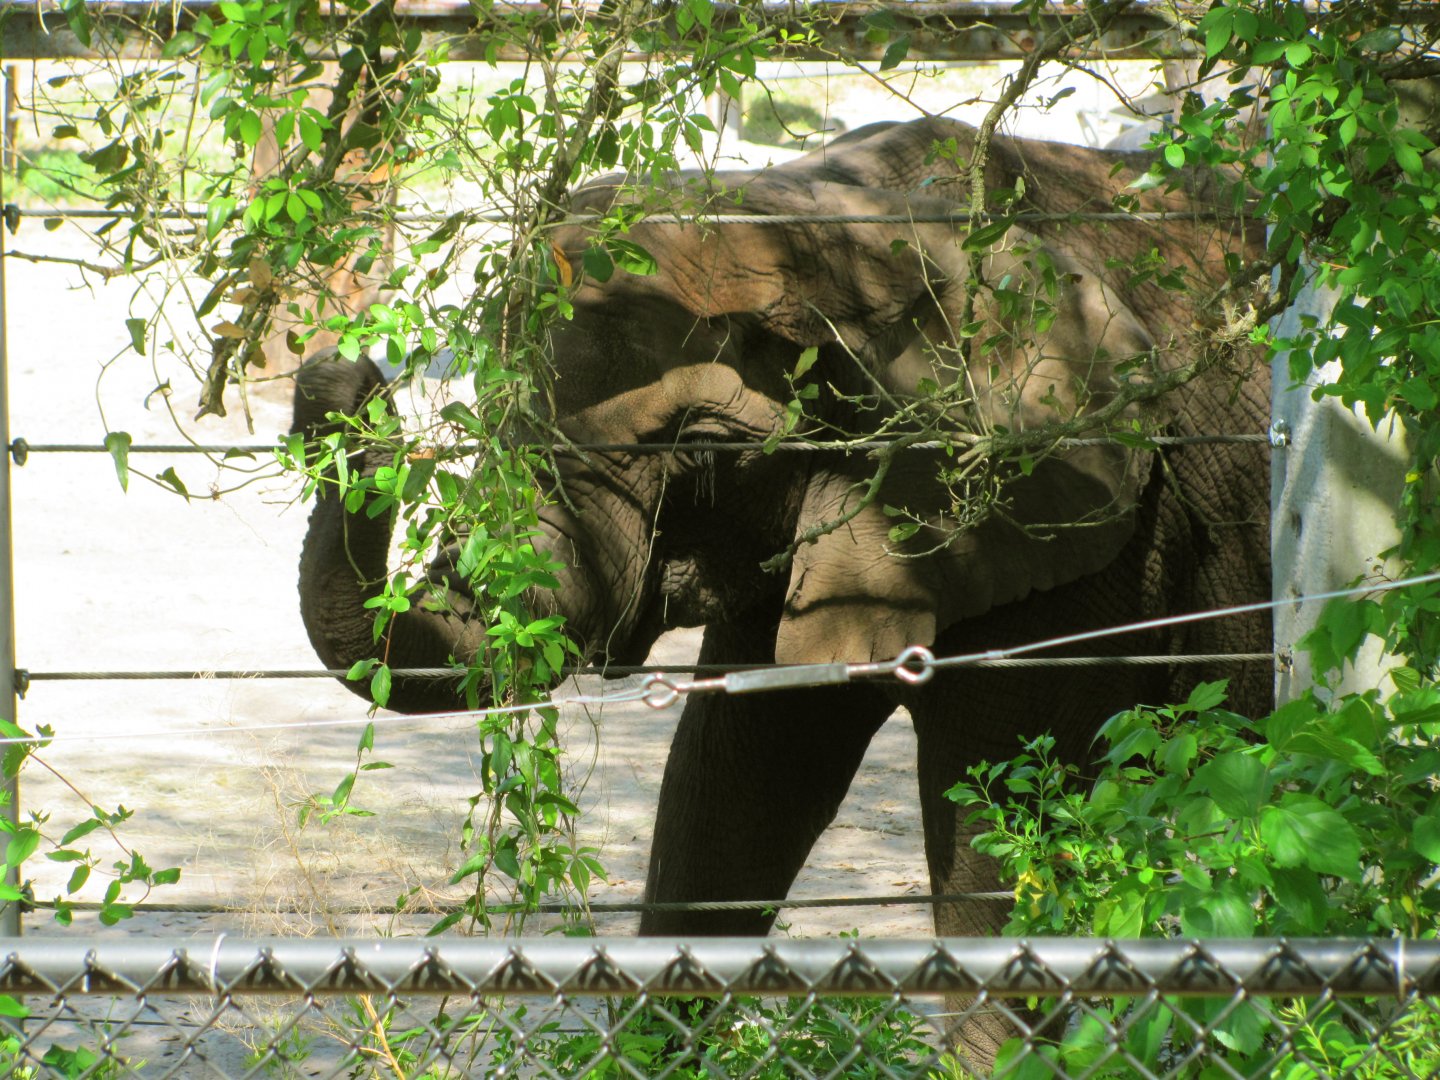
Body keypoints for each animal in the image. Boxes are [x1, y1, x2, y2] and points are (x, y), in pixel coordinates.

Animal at [292, 117, 1272, 1057]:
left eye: (699, 449)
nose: (344, 378)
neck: (833, 211)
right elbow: (738, 773)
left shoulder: (1088, 529)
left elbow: (1010, 813)